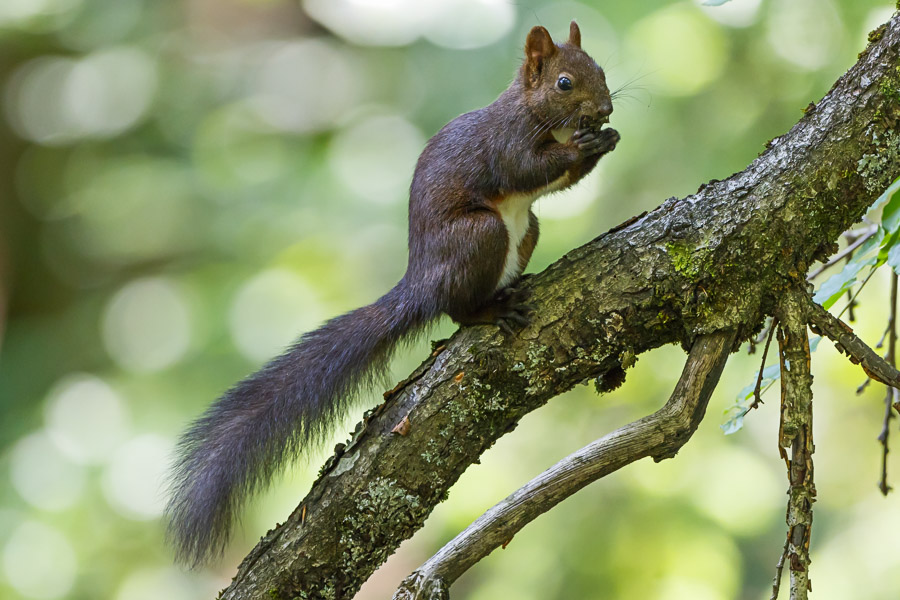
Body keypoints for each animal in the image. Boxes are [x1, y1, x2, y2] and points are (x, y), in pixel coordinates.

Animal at [165, 19, 620, 568]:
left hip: (525, 229)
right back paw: (492, 309)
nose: (605, 109)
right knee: (457, 309)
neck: (537, 115)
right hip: (480, 235)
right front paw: (584, 145)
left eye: (600, 68)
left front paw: (608, 138)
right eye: (564, 84)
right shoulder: (505, 144)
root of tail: (421, 281)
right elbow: (527, 170)